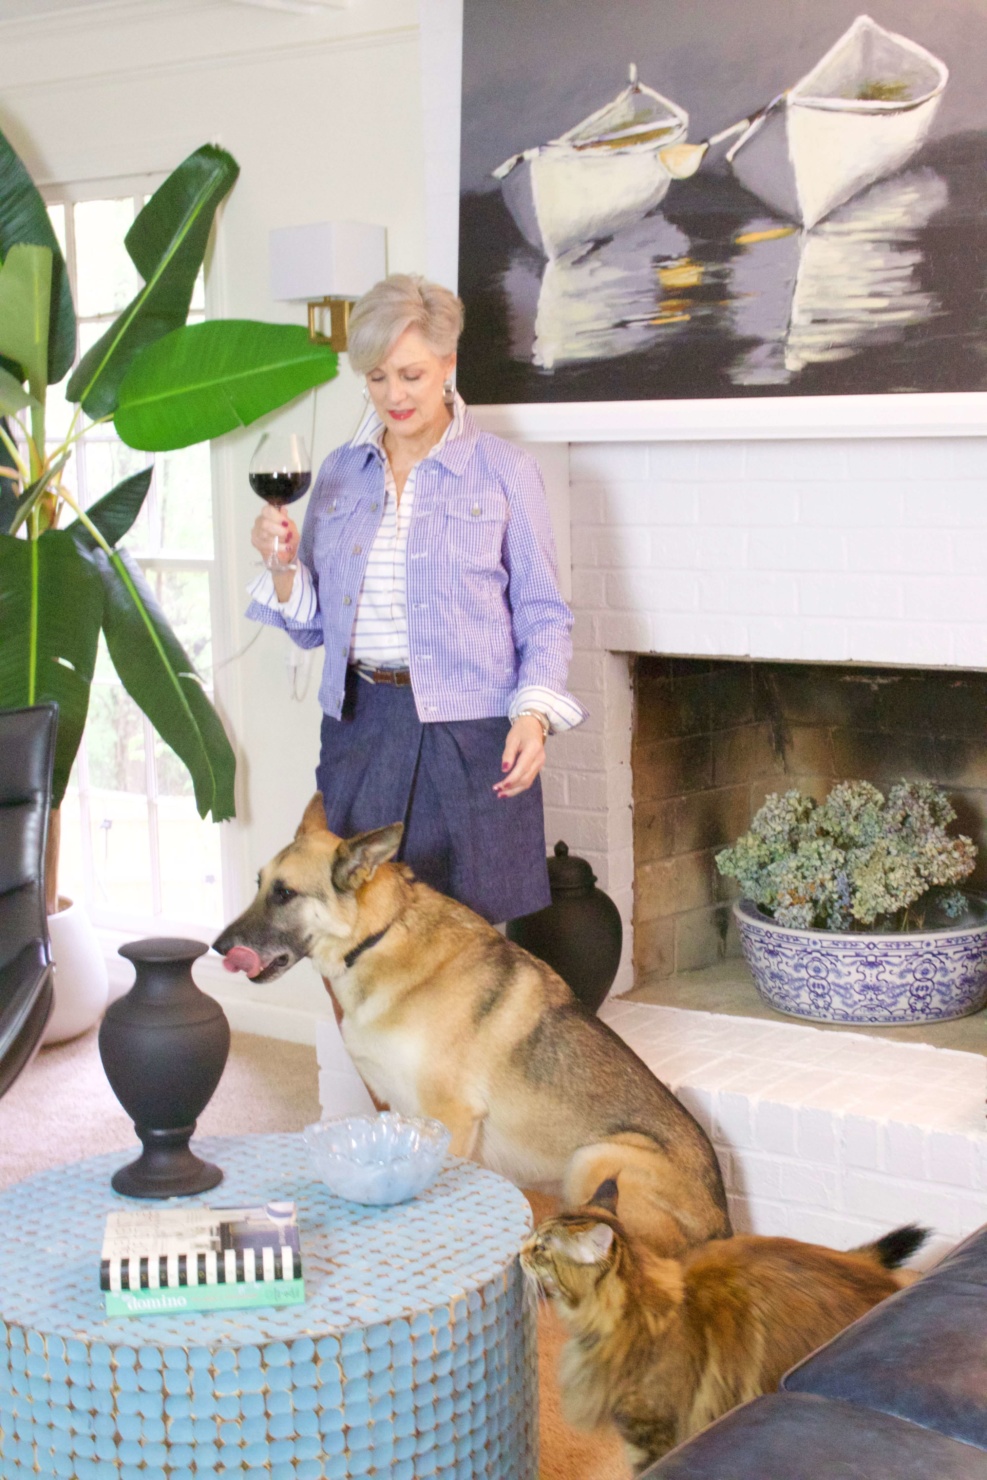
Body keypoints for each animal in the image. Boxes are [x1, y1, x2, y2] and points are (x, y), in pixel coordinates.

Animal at [213, 799, 731, 1249]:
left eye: (284, 893)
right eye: (259, 883)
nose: (217, 947)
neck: (379, 934)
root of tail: (723, 1226)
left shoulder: (451, 1119)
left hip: (594, 1159)